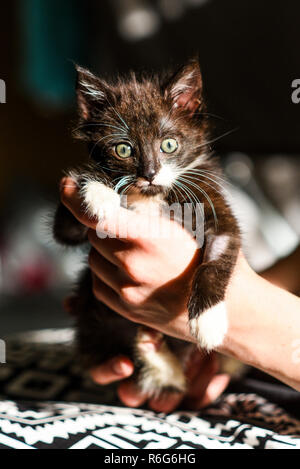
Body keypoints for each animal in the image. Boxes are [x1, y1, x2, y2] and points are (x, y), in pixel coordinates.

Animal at [54, 58, 241, 394]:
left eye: (169, 144)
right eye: (123, 149)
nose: (150, 173)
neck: (150, 196)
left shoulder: (214, 206)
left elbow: (218, 257)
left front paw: (208, 320)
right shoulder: (68, 229)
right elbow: (66, 224)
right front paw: (99, 192)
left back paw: (158, 357)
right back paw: (151, 354)